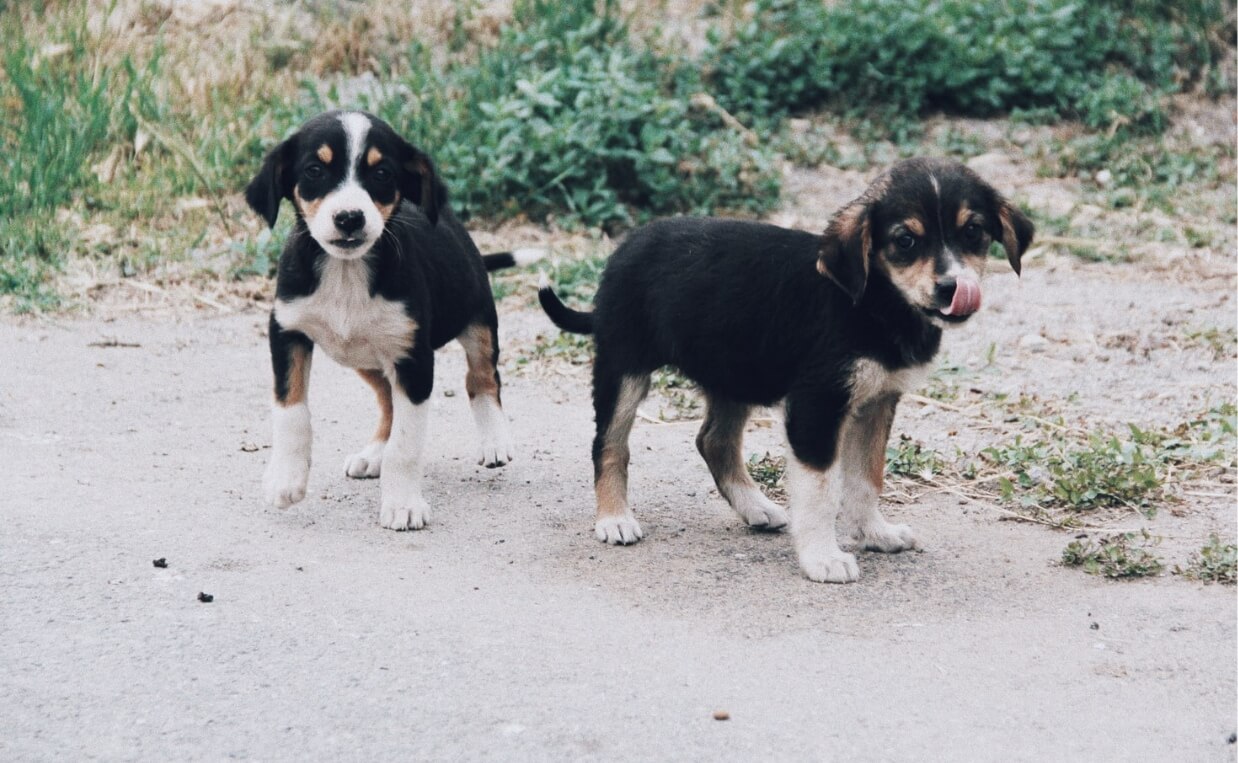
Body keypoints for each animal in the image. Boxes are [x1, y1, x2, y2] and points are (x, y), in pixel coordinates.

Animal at [247, 111, 542, 530]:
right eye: (314, 170)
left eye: (382, 173)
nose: (349, 218)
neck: (346, 273)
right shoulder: (287, 332)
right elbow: (292, 412)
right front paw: (285, 480)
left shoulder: (414, 359)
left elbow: (406, 443)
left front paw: (403, 504)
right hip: (366, 357)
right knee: (387, 399)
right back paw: (374, 454)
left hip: (477, 322)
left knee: (481, 378)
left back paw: (495, 441)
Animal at [537, 156, 1030, 584]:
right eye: (905, 241)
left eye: (973, 232)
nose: (952, 288)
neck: (872, 301)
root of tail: (626, 246)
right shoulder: (817, 405)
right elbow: (821, 491)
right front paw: (823, 558)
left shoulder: (878, 401)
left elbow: (866, 477)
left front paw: (875, 533)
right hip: (625, 364)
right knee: (610, 444)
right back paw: (615, 518)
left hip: (734, 370)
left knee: (713, 441)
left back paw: (755, 507)